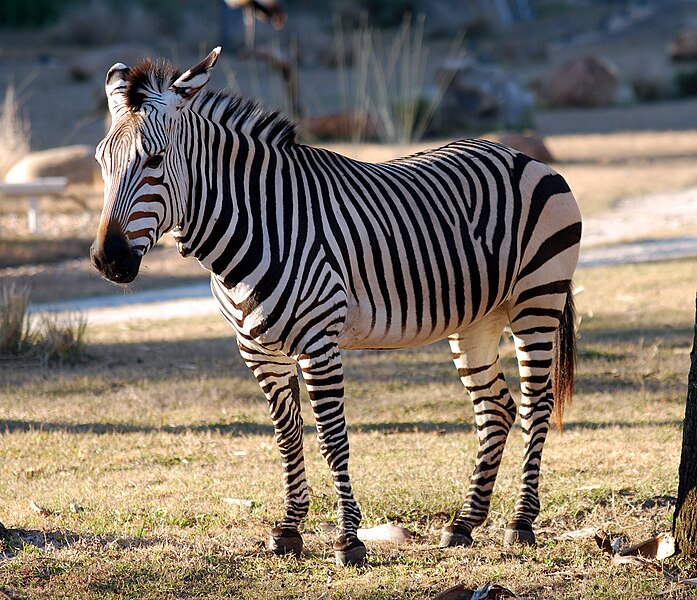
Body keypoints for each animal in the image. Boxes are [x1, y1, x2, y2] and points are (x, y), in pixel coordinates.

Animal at [89, 48, 580, 568]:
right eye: (101, 161)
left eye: (155, 159)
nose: (108, 260)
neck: (256, 225)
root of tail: (523, 156)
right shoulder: (257, 351)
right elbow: (287, 436)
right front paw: (289, 529)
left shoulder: (317, 343)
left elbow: (331, 437)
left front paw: (348, 539)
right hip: (478, 319)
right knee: (495, 408)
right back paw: (464, 523)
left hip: (537, 300)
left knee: (536, 404)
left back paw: (521, 523)